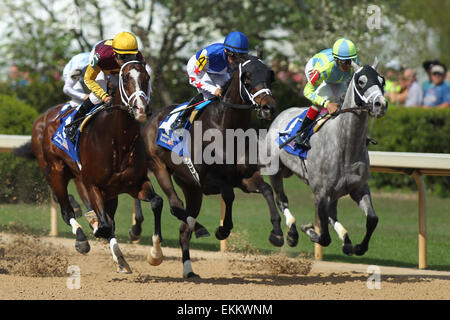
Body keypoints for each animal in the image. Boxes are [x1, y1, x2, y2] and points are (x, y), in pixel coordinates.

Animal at [35, 60, 162, 272]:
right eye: (125, 78)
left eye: (147, 77)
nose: (141, 108)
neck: (118, 142)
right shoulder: (94, 185)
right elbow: (104, 225)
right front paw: (94, 228)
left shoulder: (134, 184)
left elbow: (156, 202)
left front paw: (155, 254)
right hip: (56, 171)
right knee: (66, 211)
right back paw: (81, 239)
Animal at [142, 55, 280, 278]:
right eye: (248, 79)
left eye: (269, 77)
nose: (269, 107)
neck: (227, 128)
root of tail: (152, 118)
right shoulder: (208, 181)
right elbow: (229, 195)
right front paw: (222, 230)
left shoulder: (244, 177)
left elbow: (267, 189)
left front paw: (278, 233)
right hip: (160, 168)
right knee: (175, 206)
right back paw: (193, 232)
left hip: (191, 188)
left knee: (184, 229)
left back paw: (189, 270)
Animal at [262, 59, 388, 255]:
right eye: (361, 81)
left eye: (382, 81)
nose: (380, 104)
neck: (345, 147)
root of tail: (281, 115)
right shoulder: (321, 192)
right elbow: (324, 236)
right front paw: (309, 230)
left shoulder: (359, 188)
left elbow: (372, 219)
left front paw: (359, 246)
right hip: (275, 171)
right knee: (282, 201)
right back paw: (291, 233)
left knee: (332, 215)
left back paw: (346, 240)